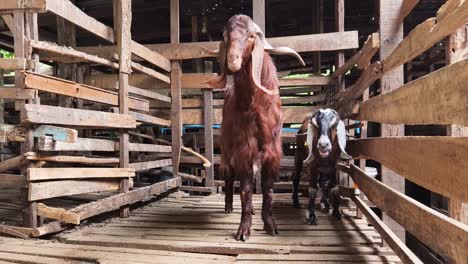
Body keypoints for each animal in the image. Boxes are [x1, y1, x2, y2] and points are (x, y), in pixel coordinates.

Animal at [207, 14, 306, 241]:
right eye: (225, 36)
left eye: (251, 35)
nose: (232, 60)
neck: (255, 105)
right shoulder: (244, 147)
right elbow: (244, 189)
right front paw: (244, 229)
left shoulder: (272, 149)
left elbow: (267, 189)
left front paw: (270, 225)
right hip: (226, 147)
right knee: (228, 175)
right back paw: (228, 206)